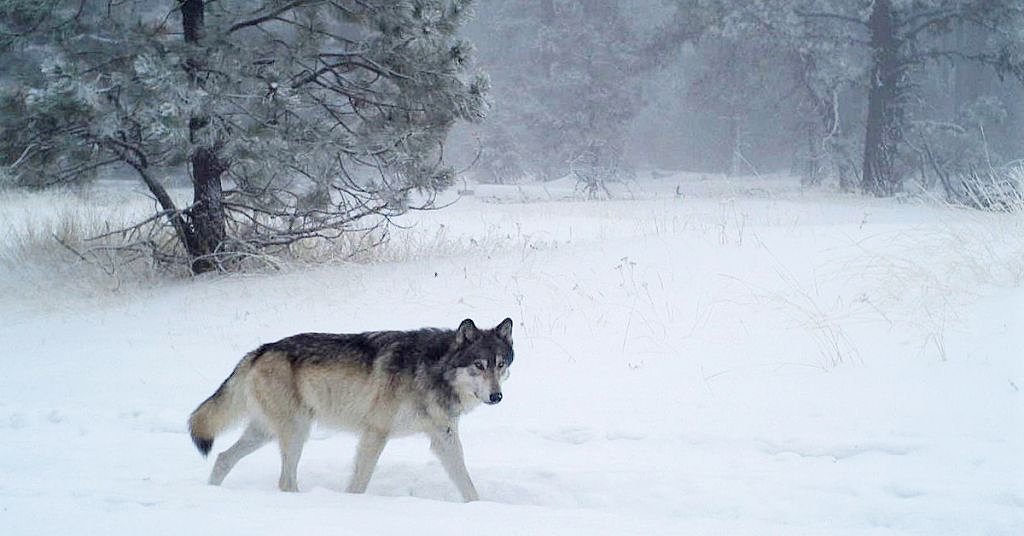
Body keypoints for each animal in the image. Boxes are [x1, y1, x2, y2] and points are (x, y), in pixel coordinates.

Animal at [188, 317, 514, 502]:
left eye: (500, 365)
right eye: (478, 365)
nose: (496, 396)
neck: (431, 370)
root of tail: (259, 351)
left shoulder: (444, 439)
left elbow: (467, 484)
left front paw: (479, 509)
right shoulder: (375, 433)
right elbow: (359, 482)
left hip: (266, 433)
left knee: (223, 458)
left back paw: (212, 492)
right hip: (296, 432)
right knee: (284, 481)